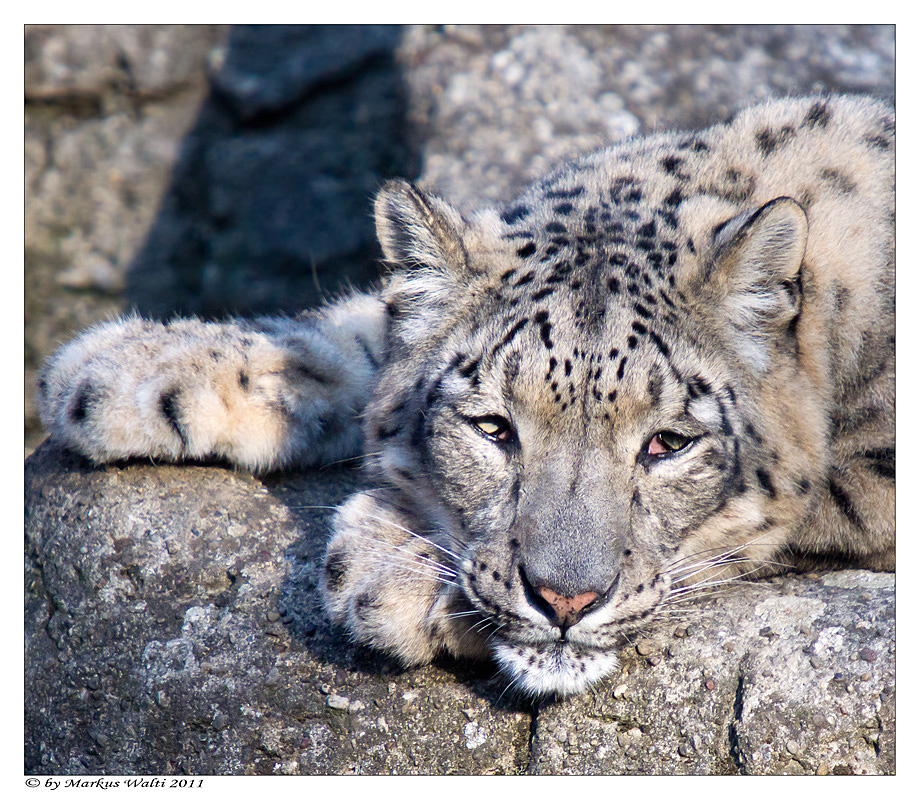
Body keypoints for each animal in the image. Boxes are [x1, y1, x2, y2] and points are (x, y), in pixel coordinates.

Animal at [36, 92, 892, 692]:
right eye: (493, 428)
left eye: (668, 443)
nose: (566, 600)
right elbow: (360, 329)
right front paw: (121, 368)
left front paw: (392, 571)